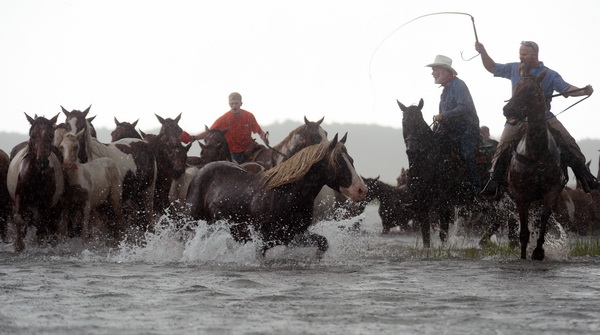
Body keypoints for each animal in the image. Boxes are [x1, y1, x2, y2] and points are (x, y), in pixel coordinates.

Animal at [7, 113, 64, 252]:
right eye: (33, 135)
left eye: (51, 135)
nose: (42, 162)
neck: (36, 177)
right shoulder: (19, 196)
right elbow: (18, 219)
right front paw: (19, 244)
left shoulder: (46, 201)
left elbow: (42, 222)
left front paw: (40, 243)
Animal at [185, 134, 368, 258]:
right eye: (338, 162)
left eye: (351, 160)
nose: (361, 190)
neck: (286, 194)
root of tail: (201, 171)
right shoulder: (263, 241)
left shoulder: (293, 235)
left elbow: (323, 243)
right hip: (191, 222)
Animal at [504, 73, 564, 262]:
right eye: (515, 88)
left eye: (531, 90)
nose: (507, 110)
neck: (537, 153)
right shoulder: (521, 196)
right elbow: (523, 232)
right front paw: (523, 256)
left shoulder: (552, 191)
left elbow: (544, 218)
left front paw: (538, 251)